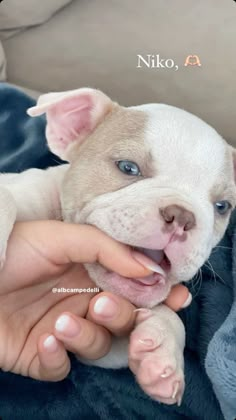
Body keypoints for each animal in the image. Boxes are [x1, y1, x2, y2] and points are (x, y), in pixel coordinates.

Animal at [0, 89, 235, 406]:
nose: (182, 217)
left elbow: (167, 319)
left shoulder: (97, 340)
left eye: (222, 206)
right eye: (128, 167)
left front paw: (161, 351)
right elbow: (6, 199)